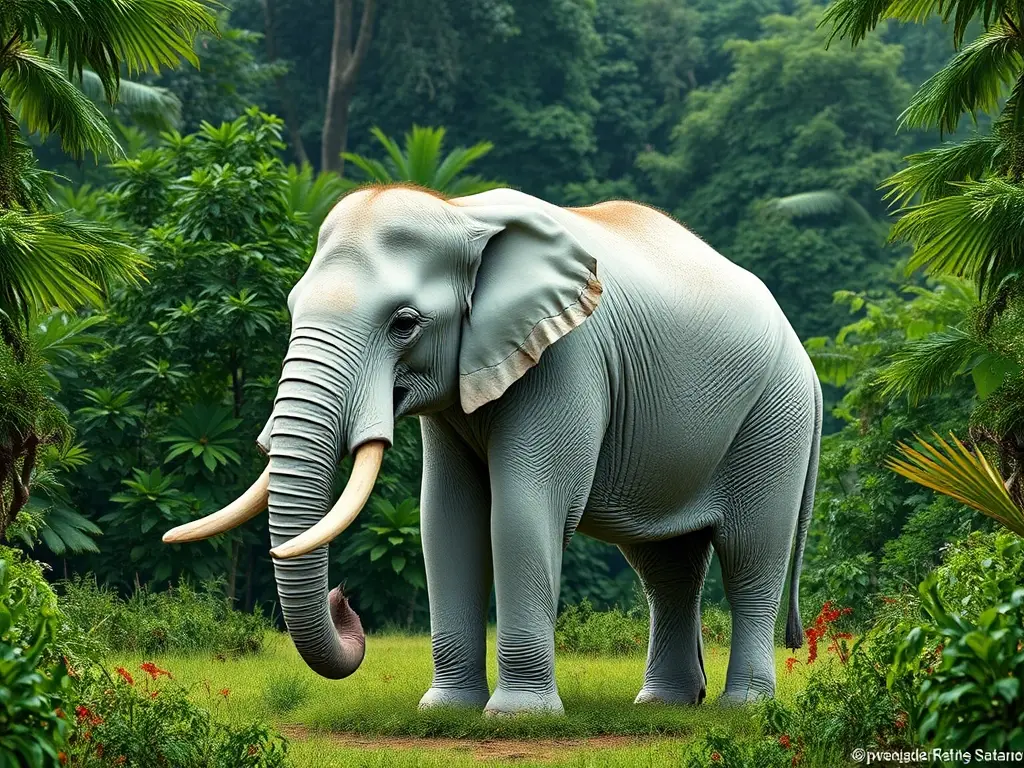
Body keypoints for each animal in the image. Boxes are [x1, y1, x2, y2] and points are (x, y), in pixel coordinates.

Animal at [163, 184, 822, 715]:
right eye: (292, 309)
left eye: (404, 323)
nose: (344, 600)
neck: (462, 213)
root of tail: (809, 366)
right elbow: (446, 520)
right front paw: (446, 711)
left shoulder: (567, 357)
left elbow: (523, 510)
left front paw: (518, 717)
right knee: (665, 568)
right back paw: (664, 705)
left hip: (775, 419)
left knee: (750, 552)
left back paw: (743, 708)